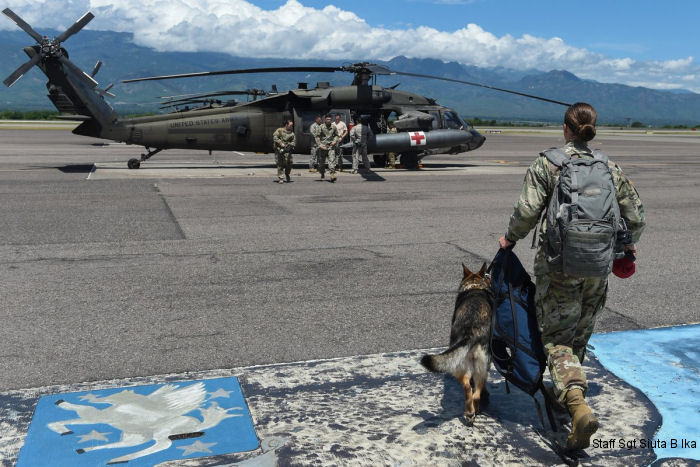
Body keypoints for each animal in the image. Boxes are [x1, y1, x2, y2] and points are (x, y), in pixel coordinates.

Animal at [422, 264, 492, 424]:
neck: (475, 285)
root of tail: (471, 330)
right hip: (481, 366)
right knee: (475, 392)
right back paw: (474, 411)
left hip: (461, 366)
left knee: (469, 389)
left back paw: (470, 412)